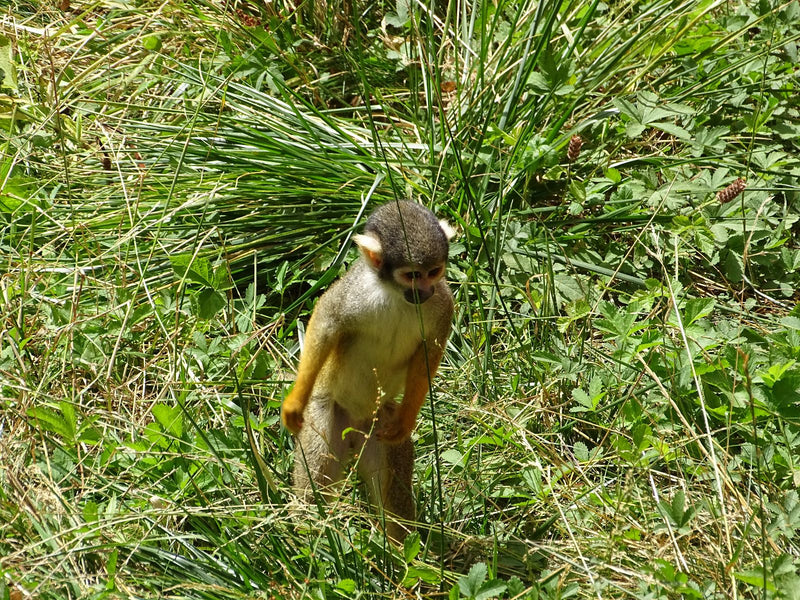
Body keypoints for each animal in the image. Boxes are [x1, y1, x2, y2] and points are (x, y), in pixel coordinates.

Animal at [281, 200, 455, 540]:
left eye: (434, 272)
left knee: (391, 488)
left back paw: (400, 547)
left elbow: (429, 353)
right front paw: (294, 402)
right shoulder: (354, 291)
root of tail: (355, 430)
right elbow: (326, 324)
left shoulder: (443, 303)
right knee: (317, 477)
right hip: (328, 414)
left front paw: (408, 418)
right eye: (413, 275)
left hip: (380, 423)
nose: (425, 292)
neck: (396, 296)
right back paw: (310, 534)